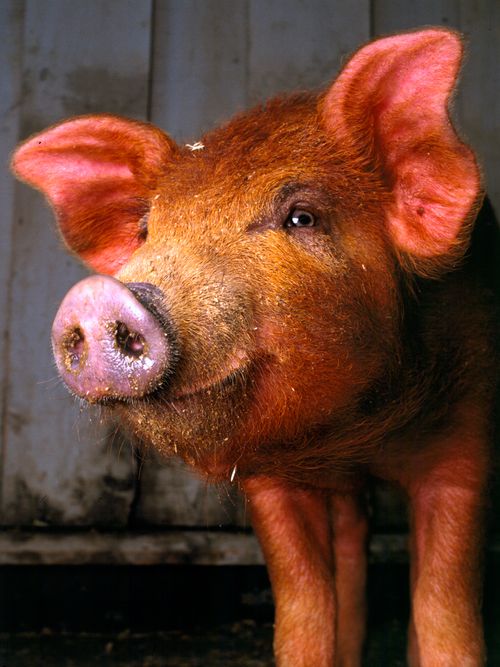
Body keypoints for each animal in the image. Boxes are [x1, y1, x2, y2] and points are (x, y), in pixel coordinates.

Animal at [11, 27, 499, 667]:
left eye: (302, 217)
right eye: (146, 232)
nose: (97, 295)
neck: (355, 432)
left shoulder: (467, 440)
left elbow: (445, 608)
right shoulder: (269, 480)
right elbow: (303, 609)